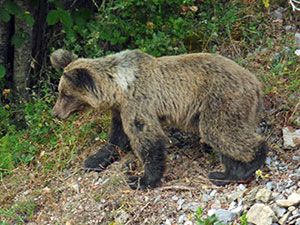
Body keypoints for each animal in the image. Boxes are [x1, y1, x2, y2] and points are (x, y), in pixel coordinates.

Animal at [50, 48, 268, 190]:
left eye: (65, 94)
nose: (55, 113)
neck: (118, 88)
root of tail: (256, 83)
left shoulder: (139, 102)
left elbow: (146, 138)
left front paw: (140, 180)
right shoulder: (121, 110)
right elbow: (117, 137)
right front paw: (94, 160)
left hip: (221, 99)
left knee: (221, 132)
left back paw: (246, 167)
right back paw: (225, 174)